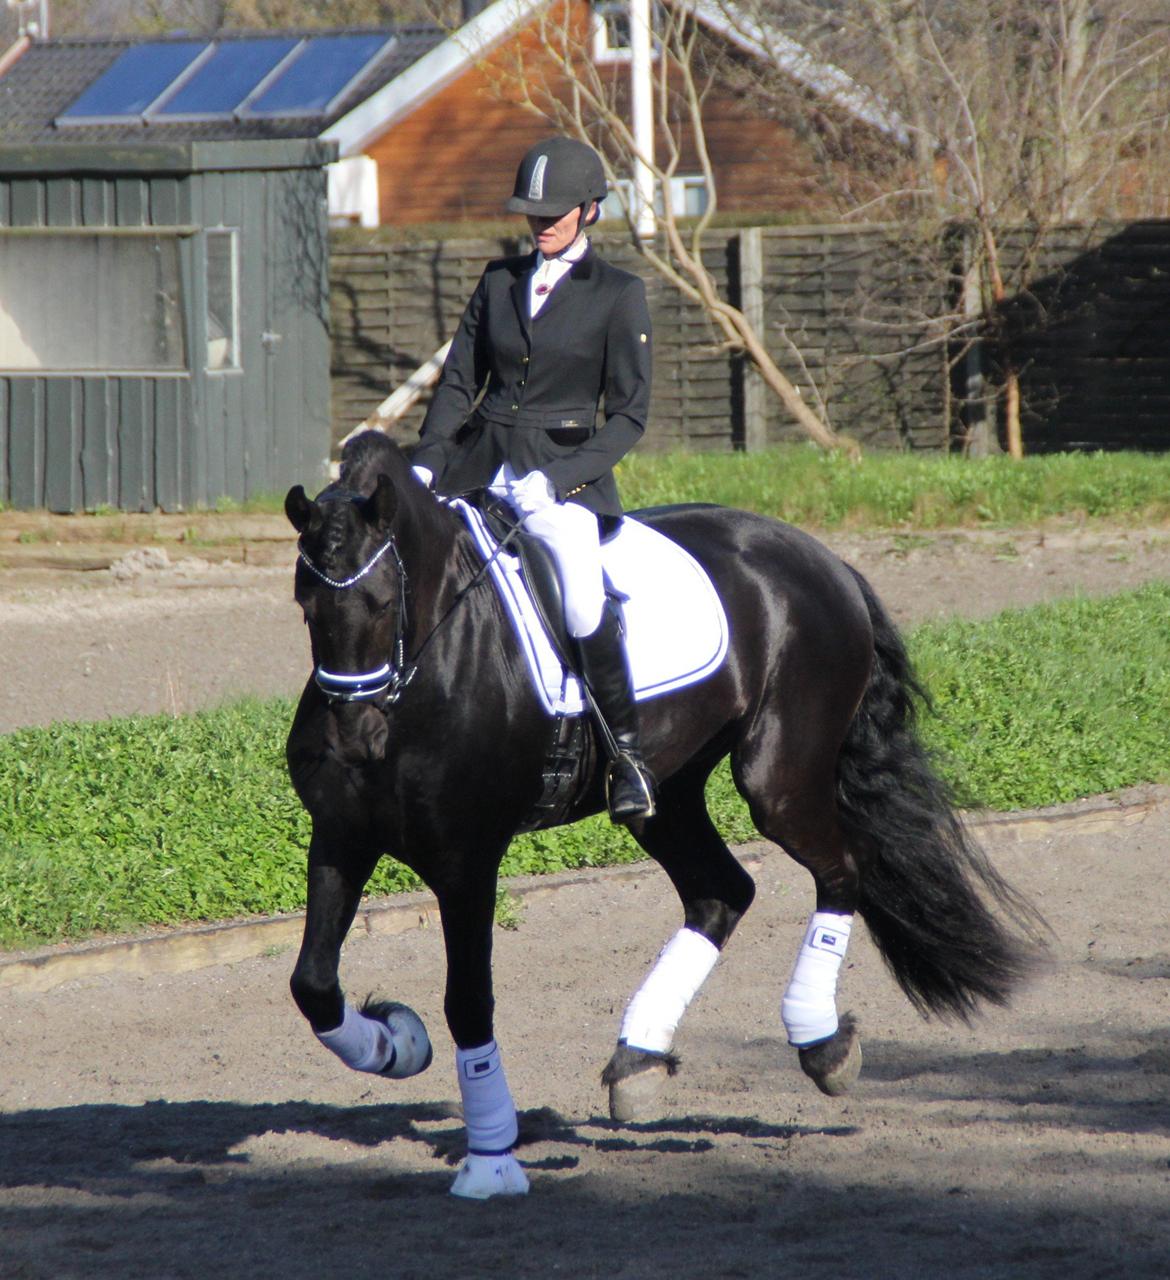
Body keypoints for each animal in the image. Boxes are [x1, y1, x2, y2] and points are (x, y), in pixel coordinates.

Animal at [282, 430, 1039, 1198]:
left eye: (381, 602)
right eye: (305, 605)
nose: (353, 739)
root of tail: (820, 557)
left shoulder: (467, 862)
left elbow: (468, 1002)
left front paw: (491, 1158)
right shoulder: (341, 838)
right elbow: (312, 984)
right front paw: (395, 1043)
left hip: (778, 779)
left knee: (840, 871)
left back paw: (821, 1044)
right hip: (664, 796)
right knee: (721, 891)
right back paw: (639, 1060)